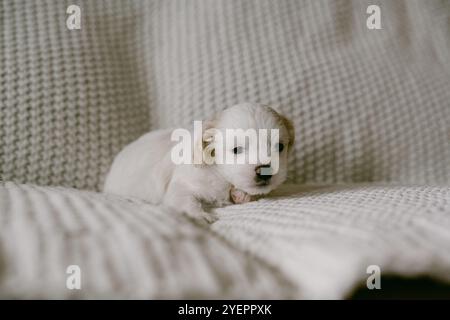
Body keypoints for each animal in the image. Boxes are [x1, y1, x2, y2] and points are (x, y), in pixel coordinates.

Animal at [103, 104, 294, 224]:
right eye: (236, 149)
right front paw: (199, 215)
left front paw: (242, 195)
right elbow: (186, 200)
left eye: (280, 147)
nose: (265, 171)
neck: (220, 175)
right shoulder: (181, 186)